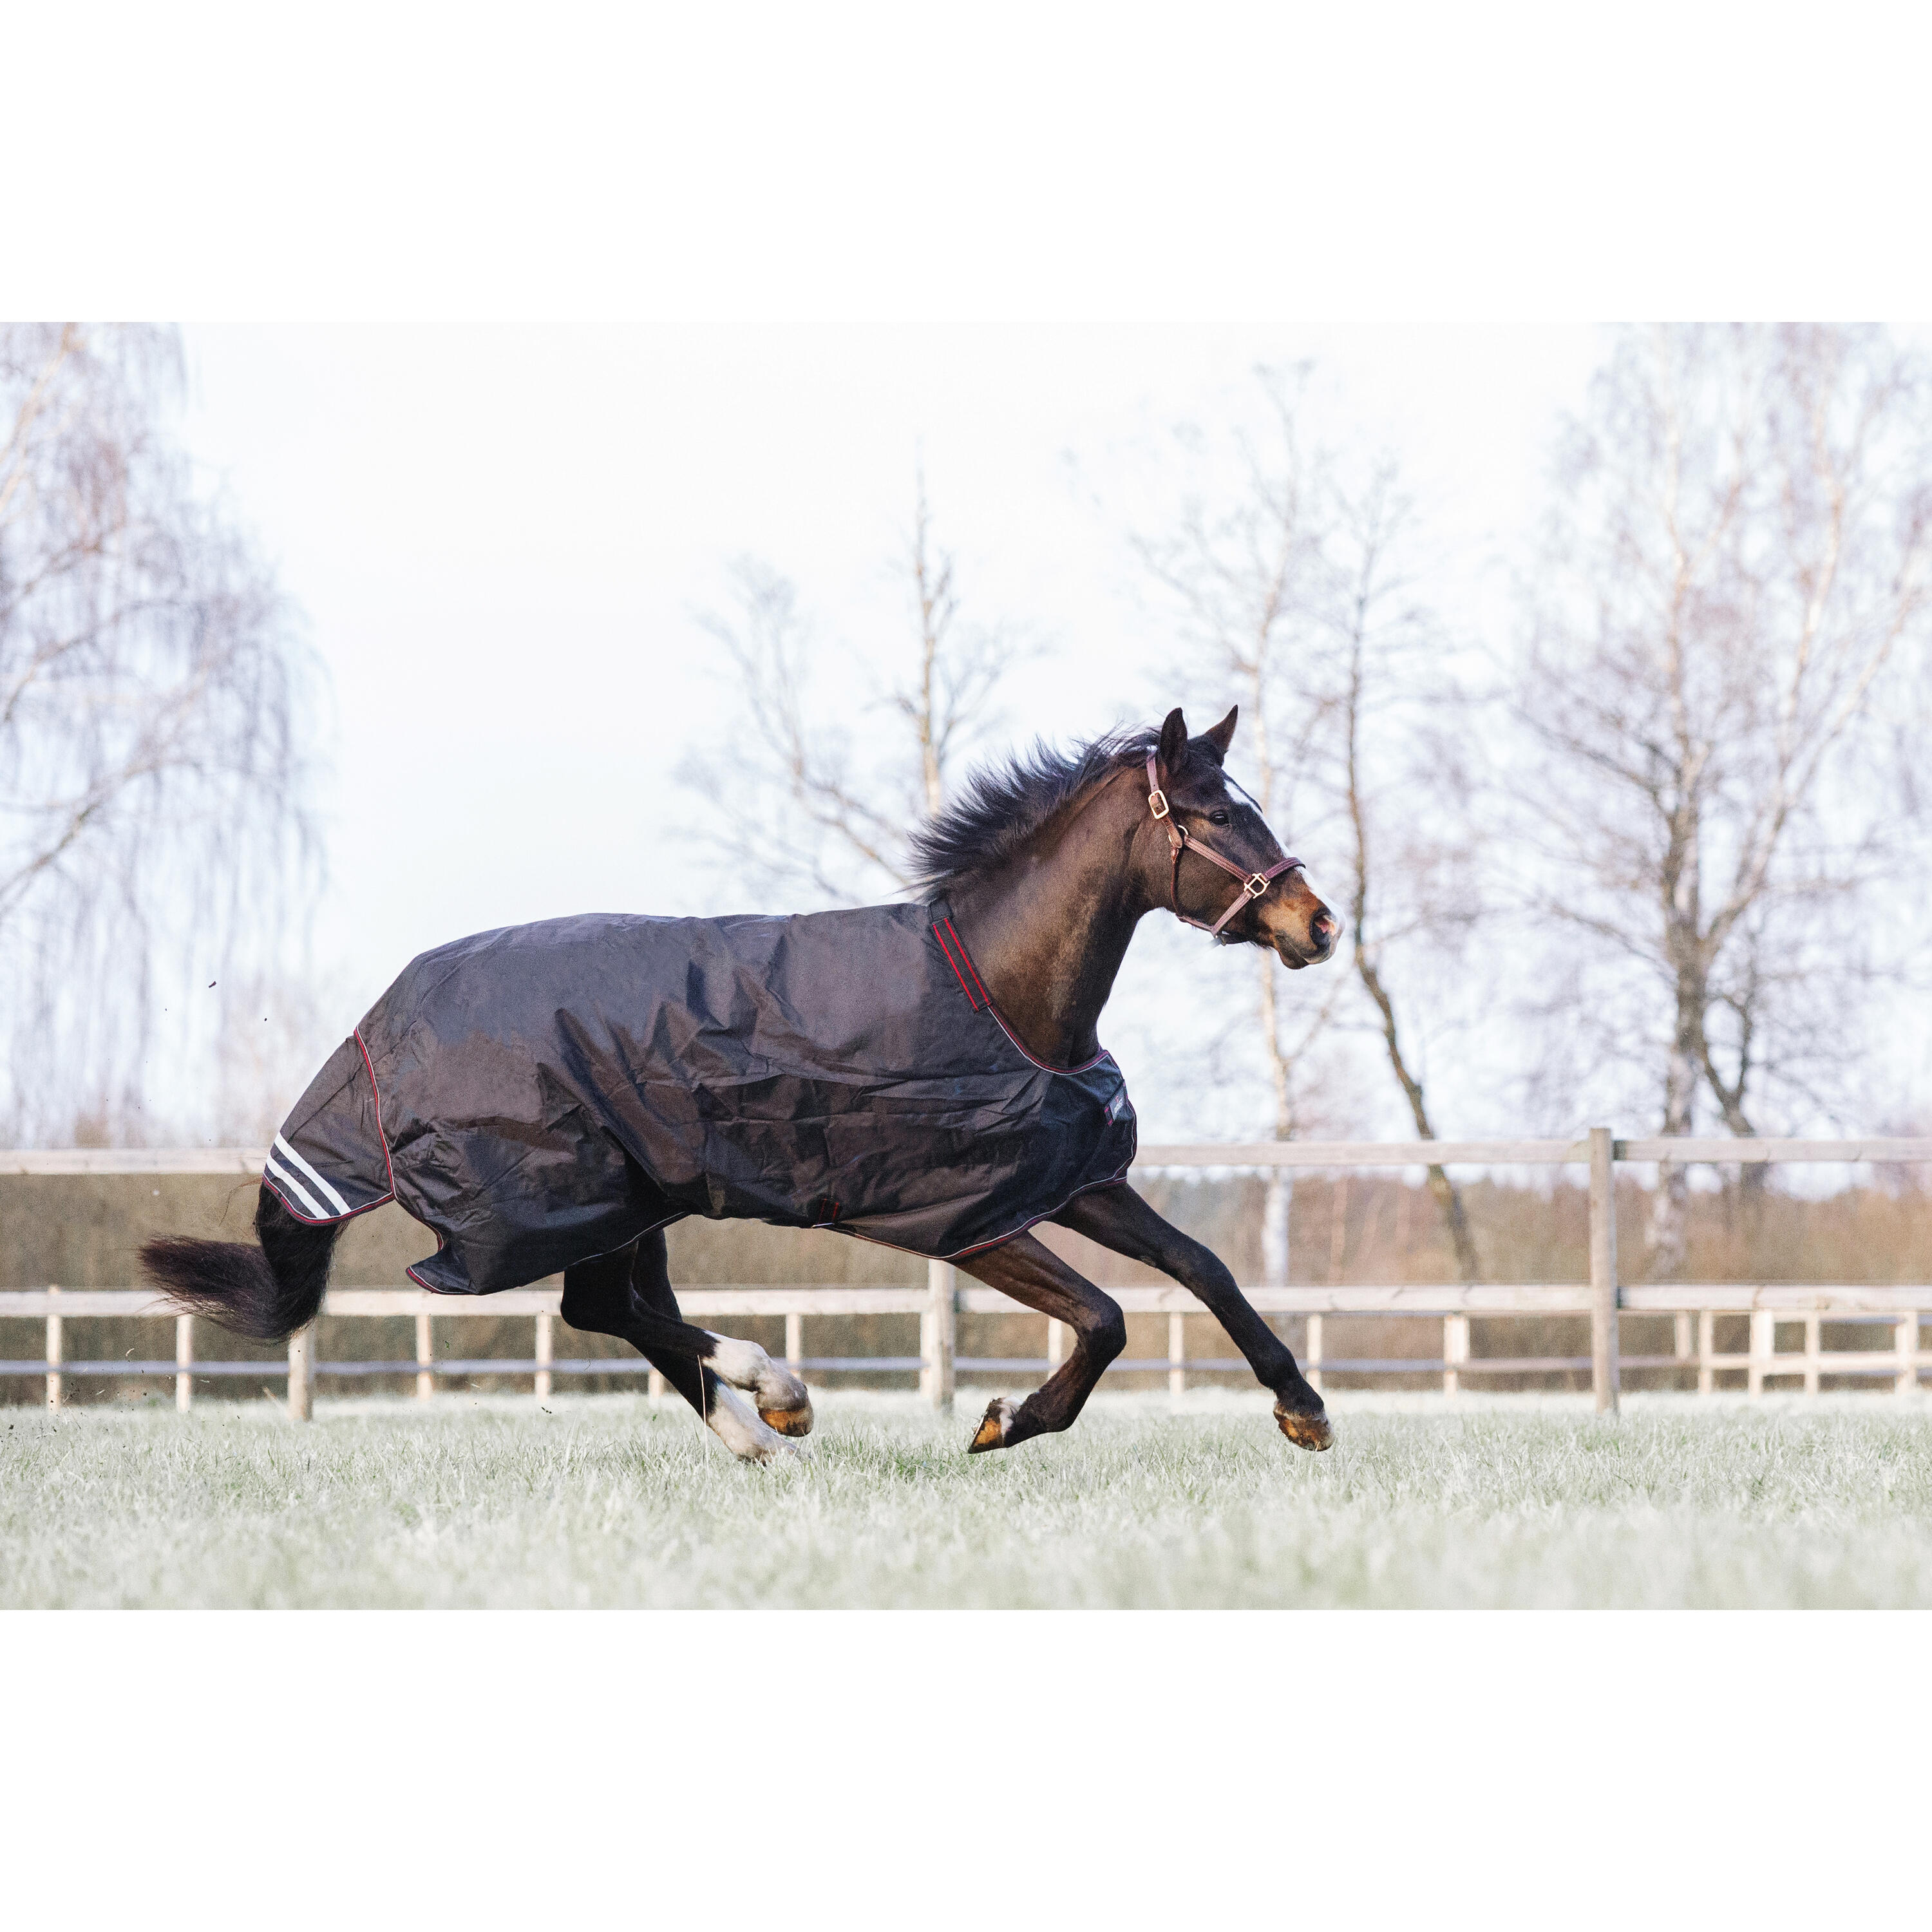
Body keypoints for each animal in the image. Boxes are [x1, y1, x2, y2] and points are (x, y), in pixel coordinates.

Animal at [142, 704, 1341, 1459]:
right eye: (1219, 816)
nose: (1318, 924)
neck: (997, 989)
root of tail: (379, 1025)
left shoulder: (1067, 1177)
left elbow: (1205, 1269)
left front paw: (1305, 1412)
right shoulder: (963, 1218)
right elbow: (1105, 1320)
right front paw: (1003, 1423)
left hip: (633, 1201)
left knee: (615, 1308)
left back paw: (758, 1436)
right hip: (583, 1198)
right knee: (607, 1309)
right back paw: (779, 1397)